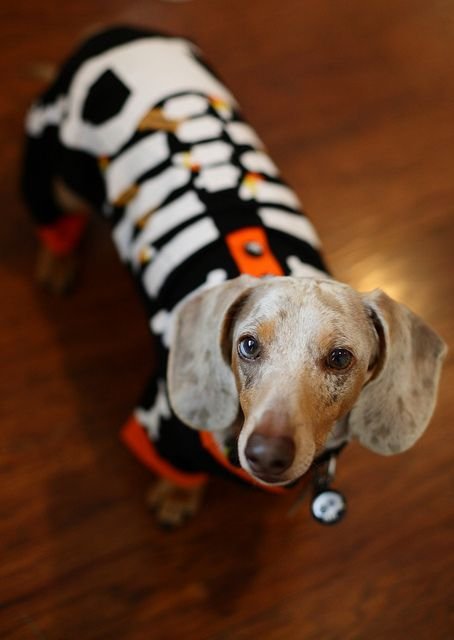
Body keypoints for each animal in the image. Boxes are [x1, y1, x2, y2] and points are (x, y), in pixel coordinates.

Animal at [22, 25, 446, 524]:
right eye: (247, 345)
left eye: (341, 358)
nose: (266, 455)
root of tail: (115, 32)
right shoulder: (164, 424)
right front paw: (177, 496)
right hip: (52, 168)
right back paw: (58, 262)